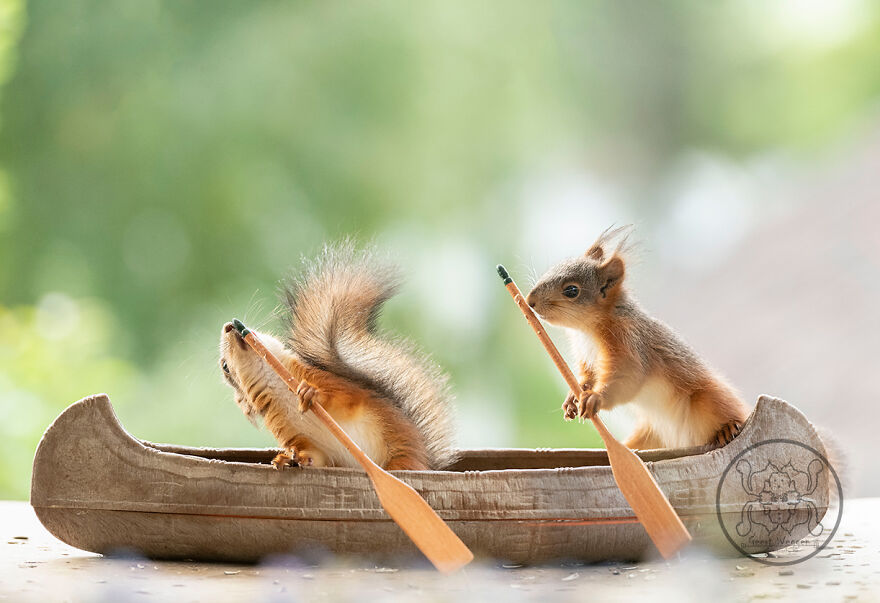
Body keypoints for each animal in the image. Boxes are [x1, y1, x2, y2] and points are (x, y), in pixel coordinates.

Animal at [219, 243, 457, 471]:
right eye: (225, 367)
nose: (229, 325)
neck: (277, 380)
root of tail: (426, 463)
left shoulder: (329, 381)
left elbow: (346, 398)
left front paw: (310, 393)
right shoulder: (292, 433)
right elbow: (313, 456)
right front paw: (290, 458)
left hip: (401, 455)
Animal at [525, 226, 750, 450]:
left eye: (571, 290)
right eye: (554, 268)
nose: (529, 301)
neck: (588, 330)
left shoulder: (629, 341)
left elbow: (628, 375)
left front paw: (596, 398)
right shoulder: (587, 358)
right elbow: (587, 378)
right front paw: (573, 397)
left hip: (709, 400)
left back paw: (727, 428)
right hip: (652, 434)